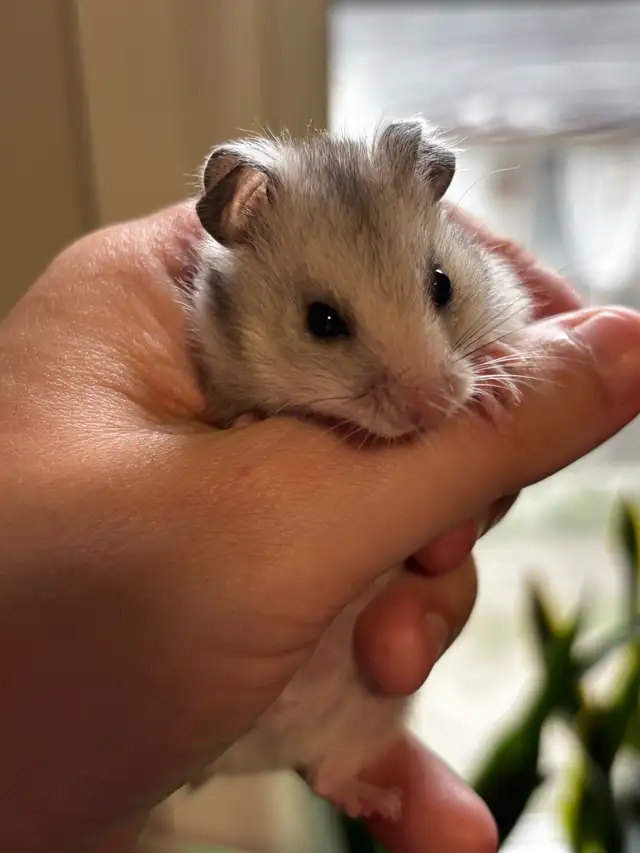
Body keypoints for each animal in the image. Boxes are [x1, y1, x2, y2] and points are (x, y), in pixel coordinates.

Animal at [186, 118, 533, 821]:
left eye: (442, 284)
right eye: (322, 321)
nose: (434, 407)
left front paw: (502, 386)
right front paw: (249, 423)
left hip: (374, 713)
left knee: (328, 777)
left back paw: (383, 803)